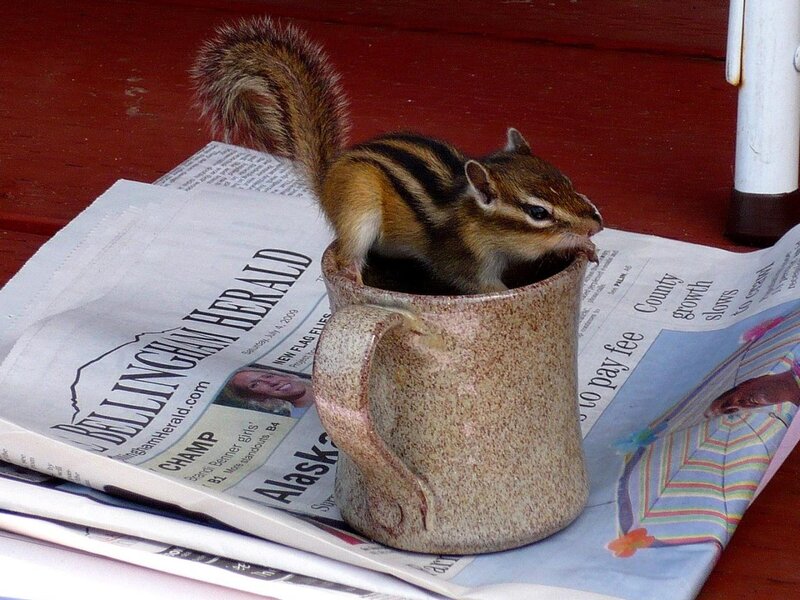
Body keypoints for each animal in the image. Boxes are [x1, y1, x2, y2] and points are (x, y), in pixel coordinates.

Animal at [192, 17, 602, 294]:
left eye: (567, 181)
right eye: (538, 213)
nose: (597, 224)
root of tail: (329, 177)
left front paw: (586, 245)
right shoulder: (462, 259)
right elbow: (480, 286)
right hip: (359, 208)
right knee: (348, 252)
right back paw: (353, 273)